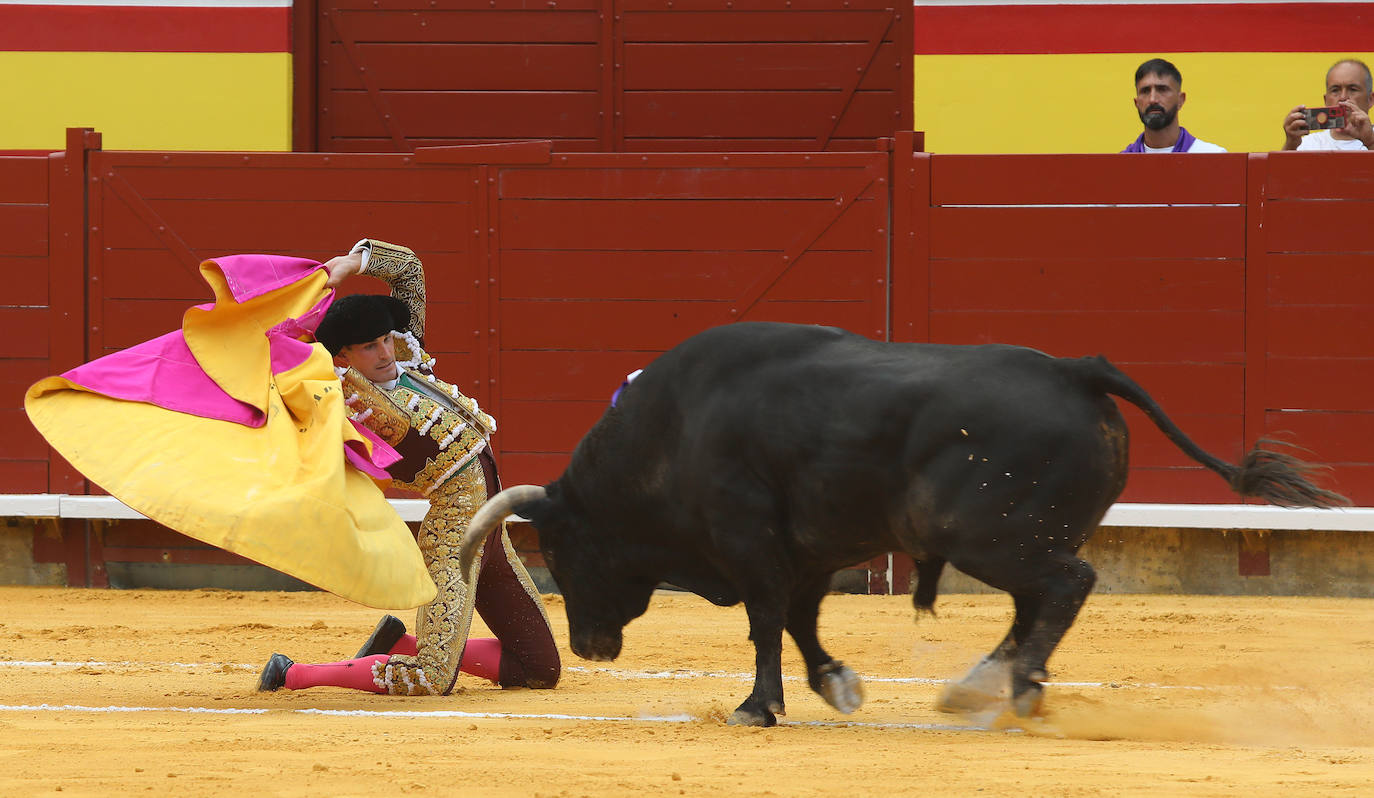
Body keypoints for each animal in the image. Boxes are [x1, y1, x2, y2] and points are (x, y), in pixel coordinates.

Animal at [458, 320, 1341, 725]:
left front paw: (758, 706)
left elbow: (766, 621)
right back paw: (980, 686)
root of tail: (1076, 370)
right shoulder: (811, 551)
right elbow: (801, 622)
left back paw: (1019, 691)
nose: (587, 647)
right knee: (1038, 601)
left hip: (986, 533)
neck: (673, 429)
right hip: (1019, 535)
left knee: (1066, 585)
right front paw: (835, 685)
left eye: (563, 548)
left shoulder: (751, 543)